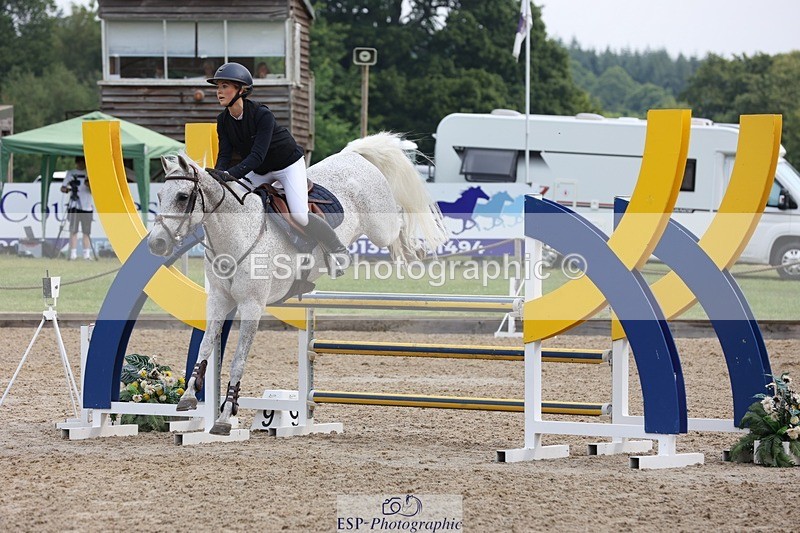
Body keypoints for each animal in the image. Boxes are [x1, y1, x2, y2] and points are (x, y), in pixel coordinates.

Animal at [147, 133, 449, 435]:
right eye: (160, 196)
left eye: (183, 197)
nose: (156, 243)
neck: (237, 234)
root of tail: (352, 155)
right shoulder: (219, 300)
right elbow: (206, 346)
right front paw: (188, 397)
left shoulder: (252, 306)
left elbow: (237, 360)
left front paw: (224, 416)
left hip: (380, 227)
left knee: (399, 224)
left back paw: (415, 251)